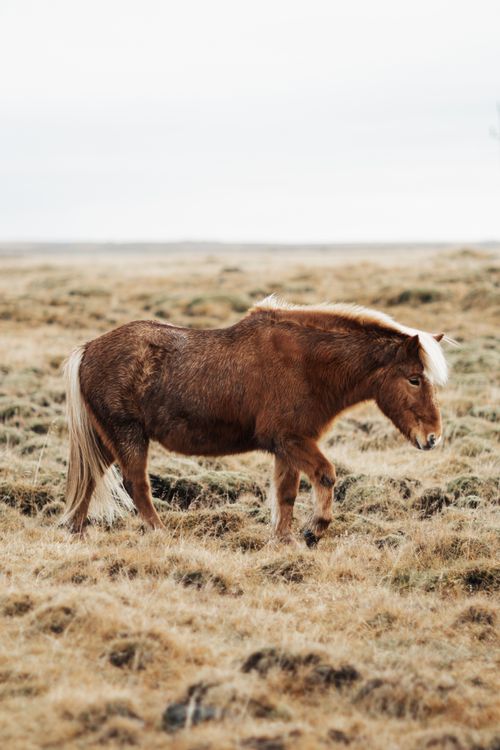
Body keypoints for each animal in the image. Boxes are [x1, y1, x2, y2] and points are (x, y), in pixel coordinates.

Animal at [61, 296, 451, 545]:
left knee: (90, 478)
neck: (307, 364)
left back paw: (75, 531)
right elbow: (325, 475)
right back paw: (159, 533)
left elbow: (286, 494)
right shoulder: (293, 440)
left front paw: (284, 540)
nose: (432, 437)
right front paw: (314, 531)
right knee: (136, 485)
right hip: (128, 436)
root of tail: (89, 349)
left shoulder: (288, 446)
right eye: (414, 379)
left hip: (108, 440)